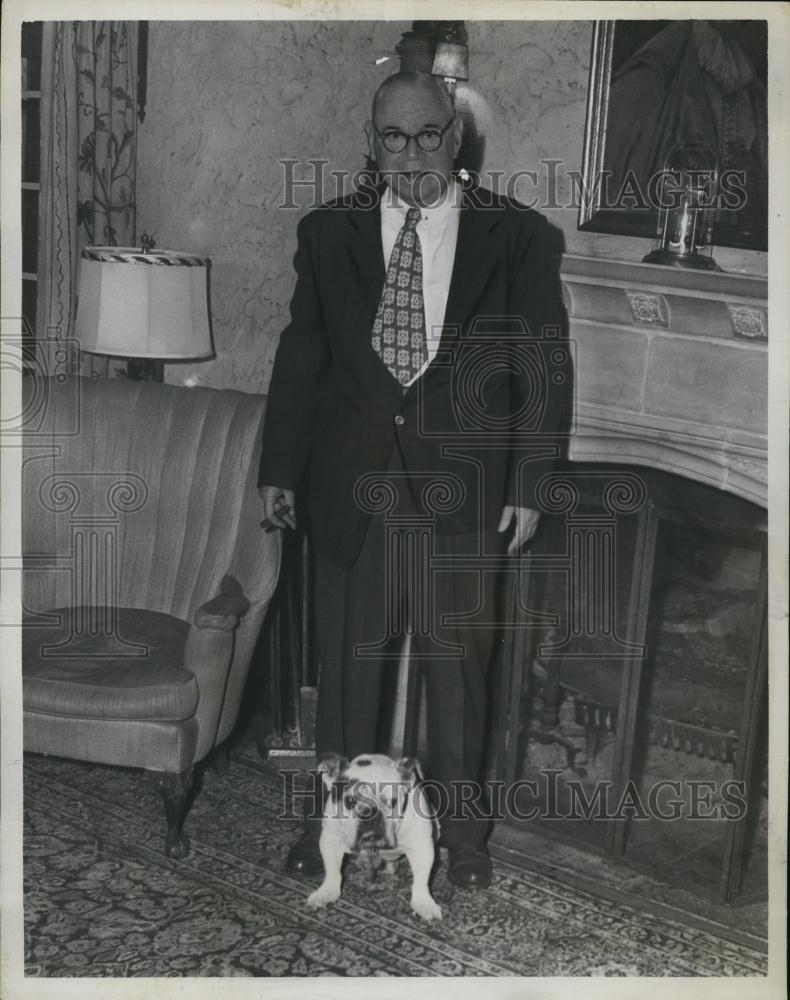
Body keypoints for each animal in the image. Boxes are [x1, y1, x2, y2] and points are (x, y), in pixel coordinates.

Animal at [308, 752, 442, 920]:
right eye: (350, 801)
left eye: (392, 802)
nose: (371, 813)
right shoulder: (331, 840)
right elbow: (333, 870)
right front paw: (326, 892)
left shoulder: (421, 846)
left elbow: (422, 877)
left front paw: (423, 903)